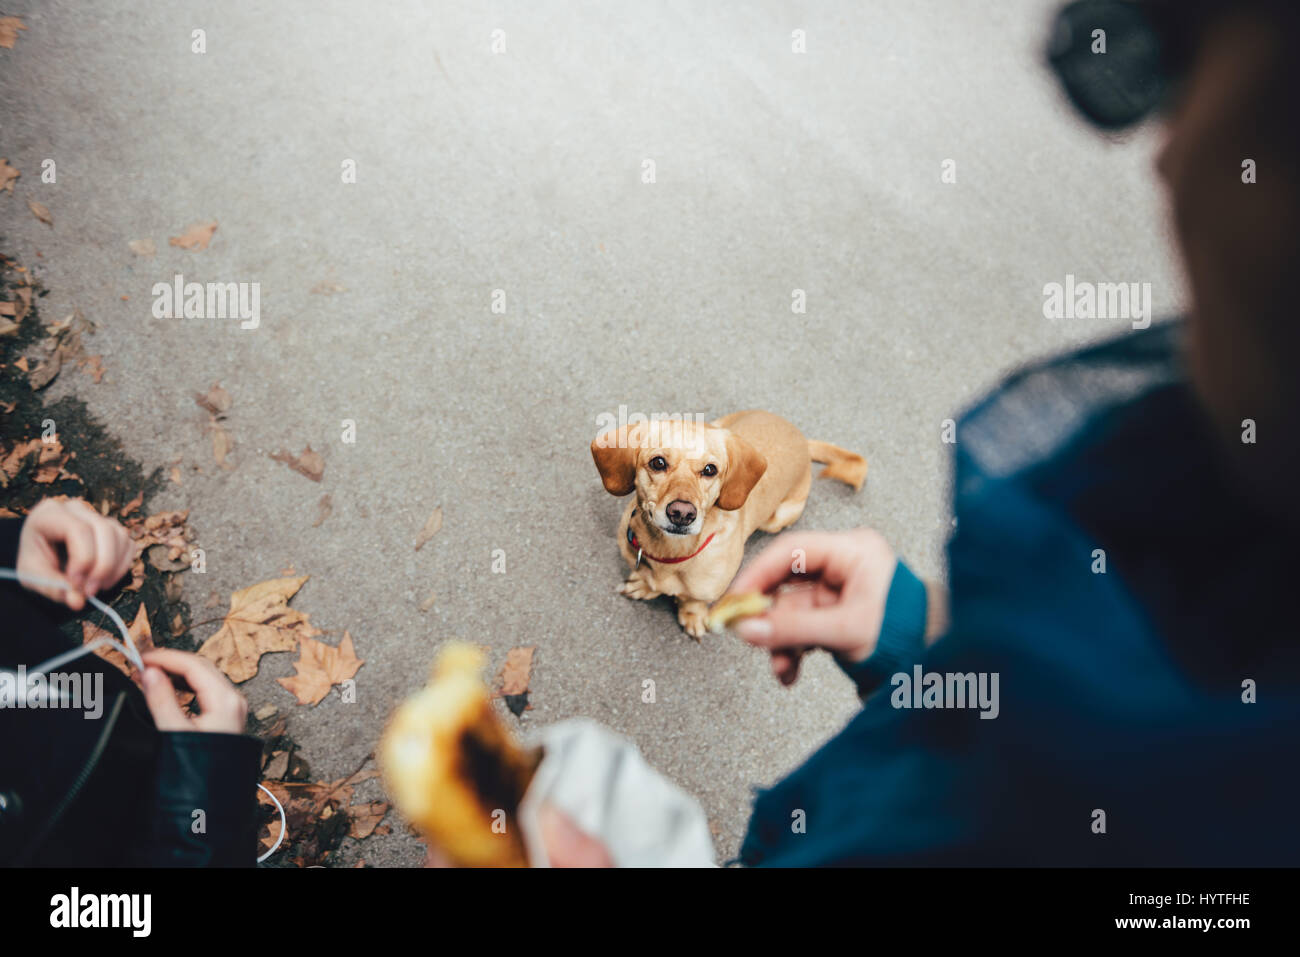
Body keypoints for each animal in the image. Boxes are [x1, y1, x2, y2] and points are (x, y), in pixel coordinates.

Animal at [595, 408, 868, 634]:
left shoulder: (705, 592)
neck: (671, 554)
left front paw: (692, 616)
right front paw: (645, 586)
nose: (682, 513)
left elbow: (694, 602)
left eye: (710, 470)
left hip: (776, 518)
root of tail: (803, 440)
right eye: (658, 462)